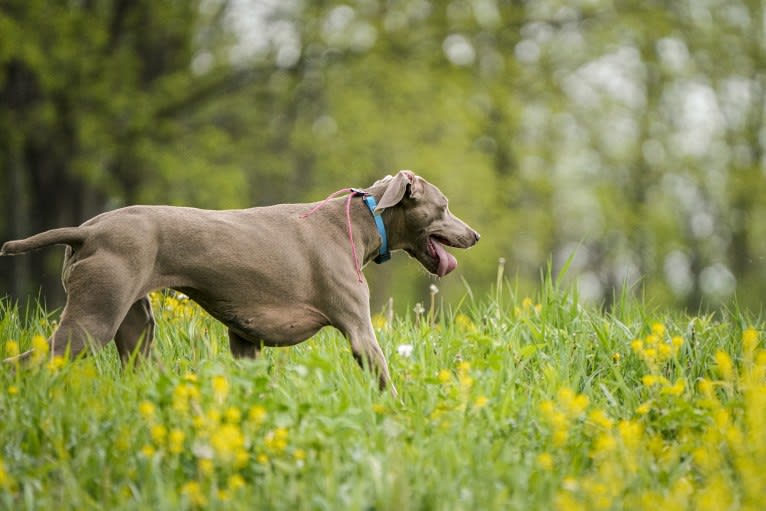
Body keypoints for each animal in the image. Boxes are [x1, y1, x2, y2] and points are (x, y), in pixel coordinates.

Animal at [1, 170, 480, 394]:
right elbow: (385, 381)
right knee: (27, 360)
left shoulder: (245, 341)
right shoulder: (360, 332)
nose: (475, 235)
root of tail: (86, 230)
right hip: (92, 322)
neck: (365, 220)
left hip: (136, 328)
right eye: (444, 207)